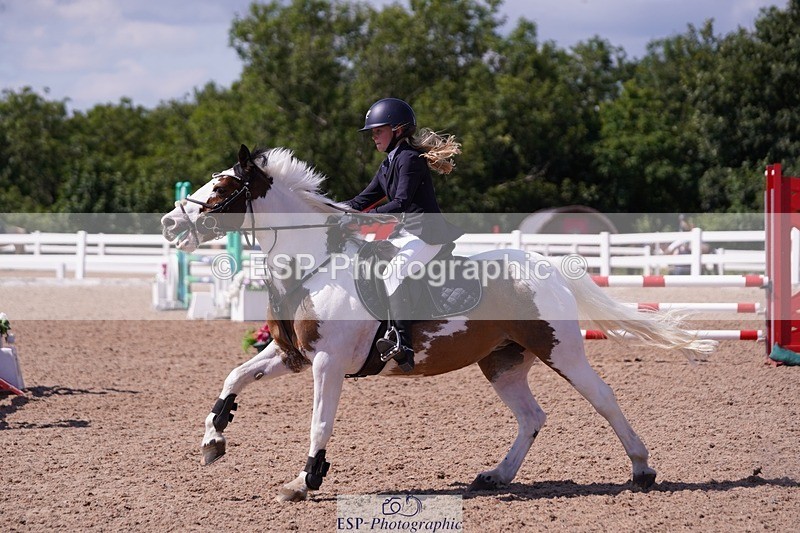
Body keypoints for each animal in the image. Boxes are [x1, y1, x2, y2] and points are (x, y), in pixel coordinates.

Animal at [160, 144, 717, 502]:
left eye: (223, 186)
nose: (169, 223)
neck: (312, 264)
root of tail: (547, 265)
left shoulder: (327, 363)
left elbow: (319, 421)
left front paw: (305, 481)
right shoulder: (292, 356)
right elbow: (234, 377)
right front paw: (213, 441)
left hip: (560, 349)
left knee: (602, 397)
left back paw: (642, 469)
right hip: (501, 362)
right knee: (531, 417)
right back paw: (496, 476)